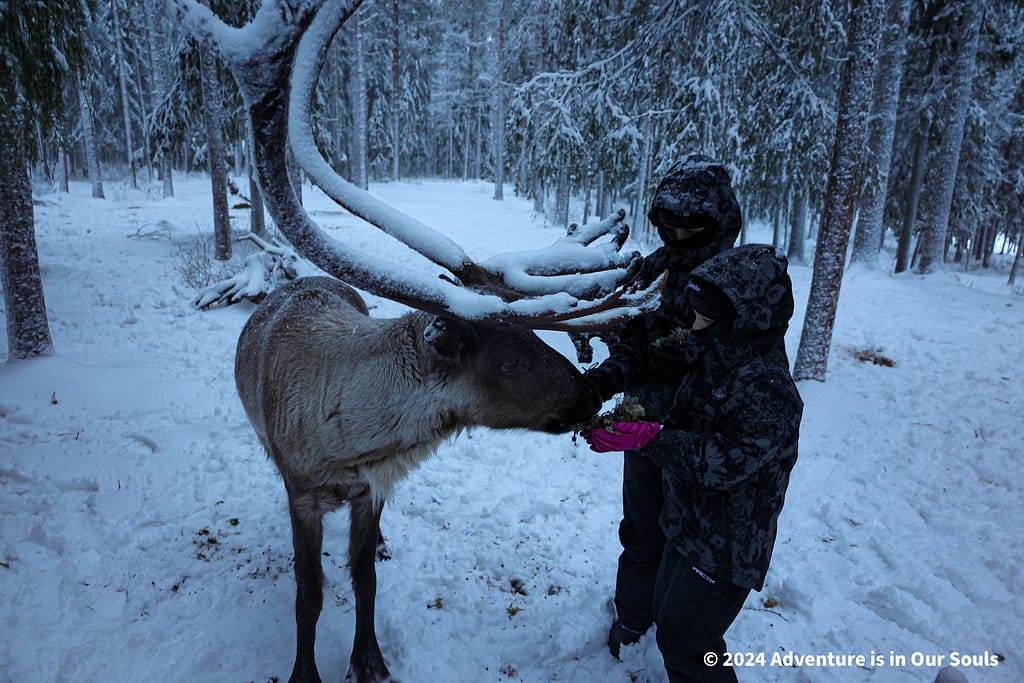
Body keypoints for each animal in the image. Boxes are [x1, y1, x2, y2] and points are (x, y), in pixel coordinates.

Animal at [172, 2, 665, 682]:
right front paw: (308, 669)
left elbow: (364, 580)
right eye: (512, 359)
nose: (589, 397)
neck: (354, 439)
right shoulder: (304, 496)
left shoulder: (369, 490)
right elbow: (309, 594)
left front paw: (371, 658)